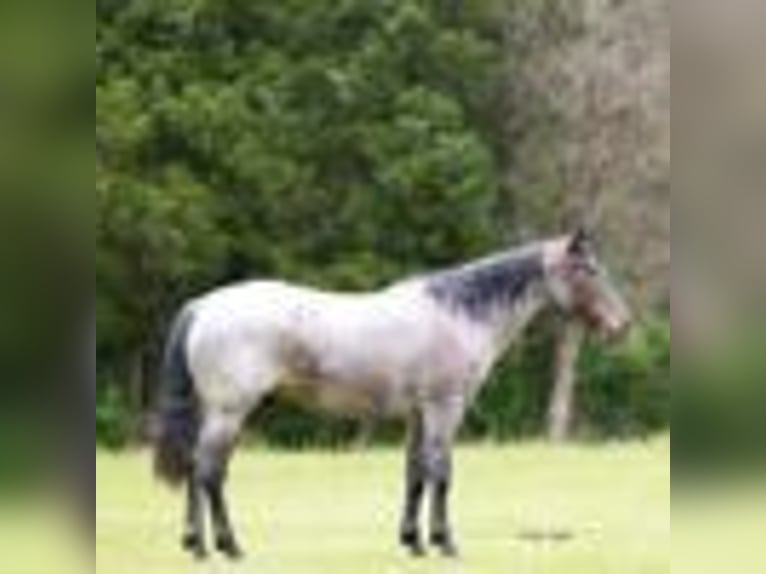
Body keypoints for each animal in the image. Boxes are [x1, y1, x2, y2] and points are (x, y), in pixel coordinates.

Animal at [153, 230, 631, 560]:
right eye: (588, 270)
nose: (621, 326)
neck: (459, 314)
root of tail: (204, 306)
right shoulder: (444, 409)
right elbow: (441, 472)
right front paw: (444, 543)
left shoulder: (419, 414)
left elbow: (415, 474)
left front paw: (413, 543)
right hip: (230, 411)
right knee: (210, 472)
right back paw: (227, 547)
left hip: (213, 412)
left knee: (195, 469)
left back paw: (195, 544)